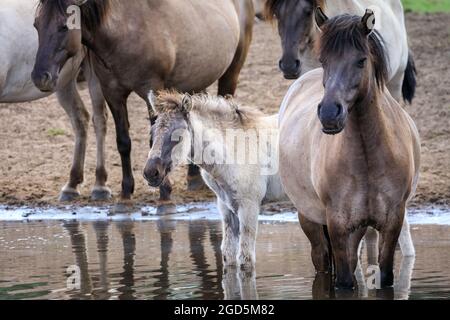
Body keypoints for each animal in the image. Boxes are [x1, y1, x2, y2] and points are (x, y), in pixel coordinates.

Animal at [1, 0, 110, 200]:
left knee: (99, 119)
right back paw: (72, 185)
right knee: (80, 118)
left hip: (93, 74)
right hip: (62, 80)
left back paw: (100, 185)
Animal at [32, 0, 253, 202]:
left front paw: (164, 192)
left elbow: (154, 139)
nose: (40, 77)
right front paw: (126, 190)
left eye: (64, 26)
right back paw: (194, 178)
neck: (124, 31)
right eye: (36, 24)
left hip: (231, 73)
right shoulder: (112, 93)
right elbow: (123, 142)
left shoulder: (152, 90)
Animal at [142, 90, 286, 270]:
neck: (235, 149)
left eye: (178, 136)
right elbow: (228, 254)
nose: (150, 173)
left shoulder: (249, 206)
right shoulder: (226, 207)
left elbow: (245, 259)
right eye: (152, 133)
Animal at [278, 9, 422, 290]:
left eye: (361, 61)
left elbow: (383, 275)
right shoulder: (338, 226)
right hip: (310, 220)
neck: (367, 159)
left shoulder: (391, 223)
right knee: (322, 260)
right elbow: (343, 281)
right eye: (324, 60)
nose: (329, 113)